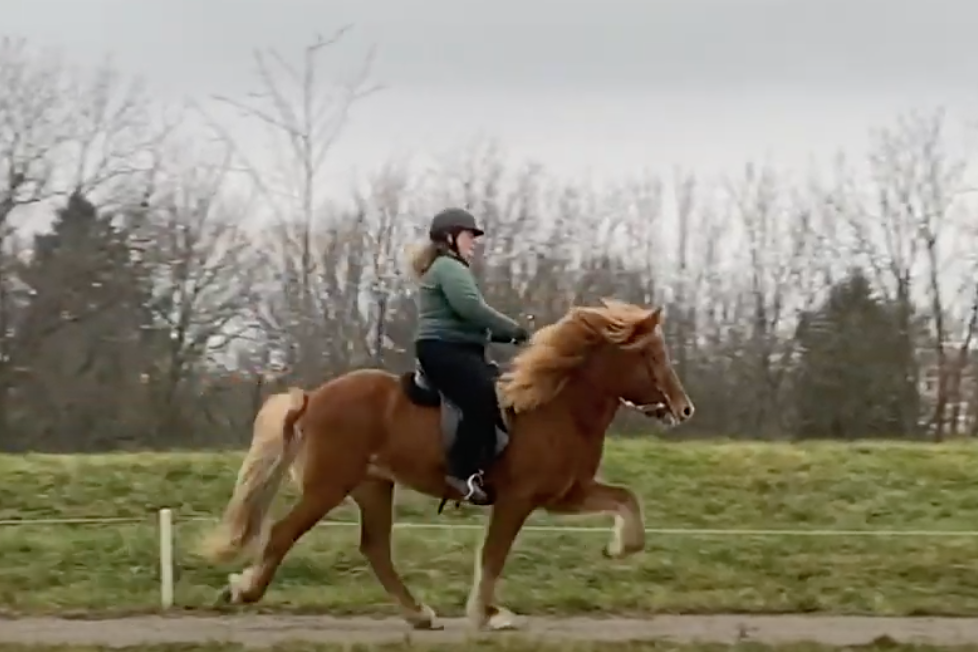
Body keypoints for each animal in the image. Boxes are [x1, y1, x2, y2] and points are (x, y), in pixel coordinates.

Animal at [202, 300, 692, 632]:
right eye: (651, 357)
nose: (684, 409)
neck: (556, 405)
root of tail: (313, 398)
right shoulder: (517, 500)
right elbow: (493, 555)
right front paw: (488, 614)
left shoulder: (564, 494)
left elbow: (626, 500)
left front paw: (621, 548)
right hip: (329, 487)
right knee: (284, 534)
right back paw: (243, 590)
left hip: (372, 486)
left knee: (375, 548)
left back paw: (418, 614)